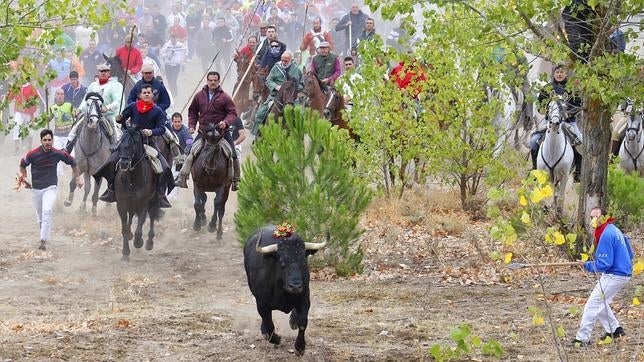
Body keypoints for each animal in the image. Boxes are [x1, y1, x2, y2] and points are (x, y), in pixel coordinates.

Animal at [112, 126, 159, 260]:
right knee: (132, 217)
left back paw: (149, 242)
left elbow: (140, 227)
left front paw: (138, 242)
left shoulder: (143, 203)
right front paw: (125, 253)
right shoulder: (122, 204)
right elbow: (124, 228)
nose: (123, 163)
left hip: (154, 200)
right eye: (120, 143)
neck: (133, 179)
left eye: (133, 143)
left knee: (152, 217)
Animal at [244, 225, 330, 354]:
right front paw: (276, 339)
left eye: (304, 261)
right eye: (282, 262)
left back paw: (293, 321)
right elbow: (269, 326)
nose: (295, 286)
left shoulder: (305, 298)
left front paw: (300, 347)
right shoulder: (261, 303)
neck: (283, 292)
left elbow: (303, 323)